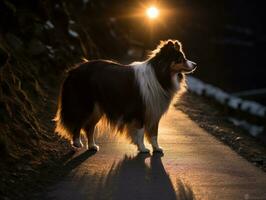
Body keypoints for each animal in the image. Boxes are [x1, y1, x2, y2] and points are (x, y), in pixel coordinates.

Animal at [54, 39, 196, 154]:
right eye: (180, 59)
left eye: (184, 57)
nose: (195, 64)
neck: (159, 75)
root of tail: (73, 70)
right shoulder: (140, 110)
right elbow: (140, 132)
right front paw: (143, 149)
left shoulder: (154, 111)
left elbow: (154, 133)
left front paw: (157, 148)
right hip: (86, 105)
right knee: (78, 122)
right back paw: (77, 142)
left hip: (97, 109)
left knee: (89, 127)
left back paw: (92, 146)